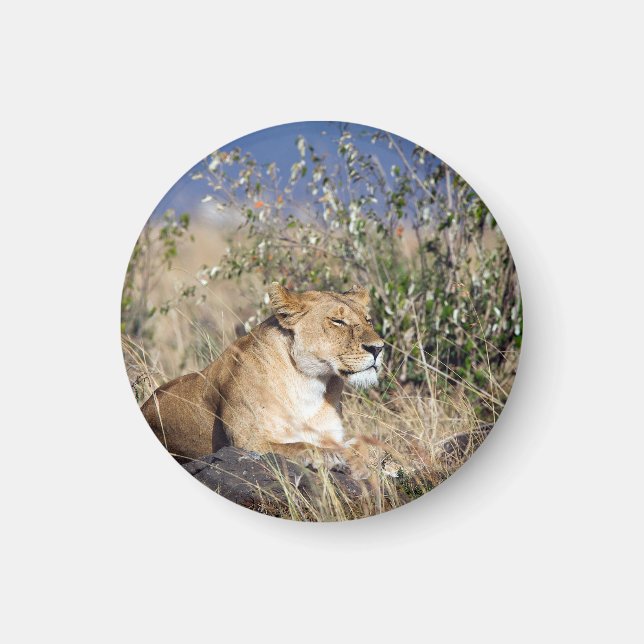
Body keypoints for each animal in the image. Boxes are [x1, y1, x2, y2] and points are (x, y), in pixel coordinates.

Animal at [140, 282, 385, 477]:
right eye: (337, 321)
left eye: (368, 320)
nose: (378, 348)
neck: (310, 383)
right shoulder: (246, 443)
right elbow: (298, 446)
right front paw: (329, 457)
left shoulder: (332, 435)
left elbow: (364, 446)